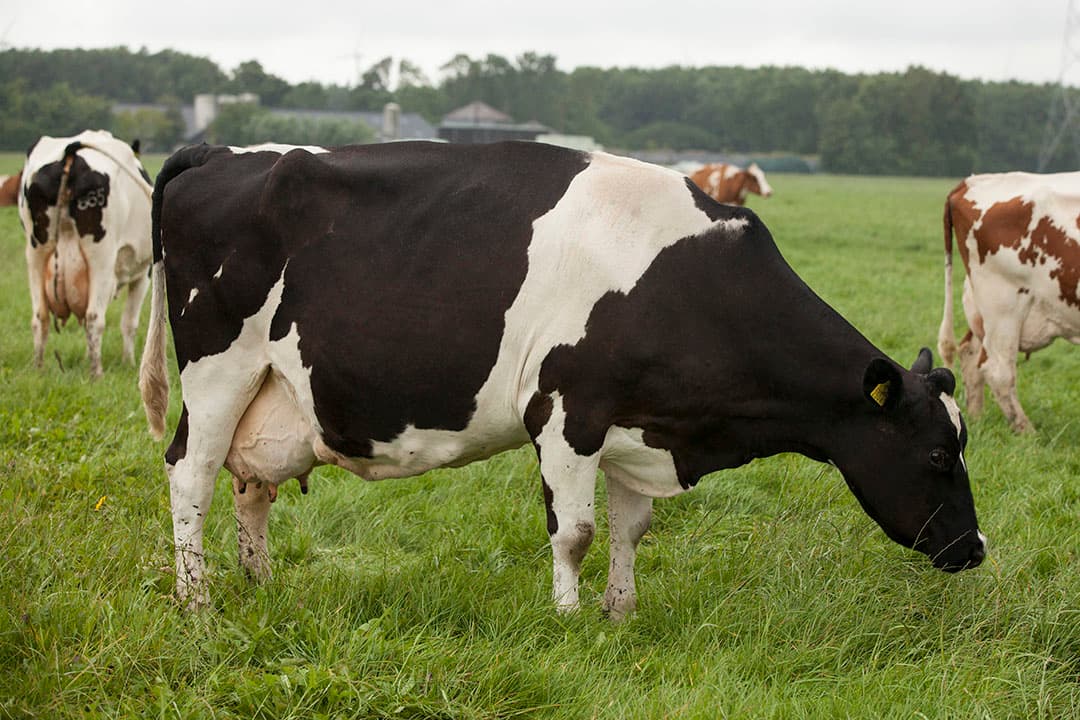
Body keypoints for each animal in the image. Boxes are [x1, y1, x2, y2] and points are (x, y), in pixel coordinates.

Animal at [18, 130, 154, 377]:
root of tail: (70, 151)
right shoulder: (143, 273)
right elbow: (129, 322)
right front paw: (129, 363)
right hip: (101, 257)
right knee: (94, 317)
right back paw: (96, 373)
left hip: (36, 251)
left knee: (40, 316)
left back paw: (38, 368)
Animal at [140, 141, 985, 615]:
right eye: (938, 455)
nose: (976, 549)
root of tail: (221, 154)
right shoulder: (566, 410)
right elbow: (574, 531)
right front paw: (571, 618)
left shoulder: (638, 424)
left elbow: (631, 529)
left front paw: (621, 611)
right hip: (218, 369)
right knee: (192, 475)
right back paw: (197, 600)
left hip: (272, 390)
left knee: (252, 483)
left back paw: (259, 584)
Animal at [938, 173, 1080, 434]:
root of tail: (971, 181)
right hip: (1004, 303)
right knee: (998, 369)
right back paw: (1026, 430)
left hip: (981, 306)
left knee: (971, 354)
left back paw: (975, 417)